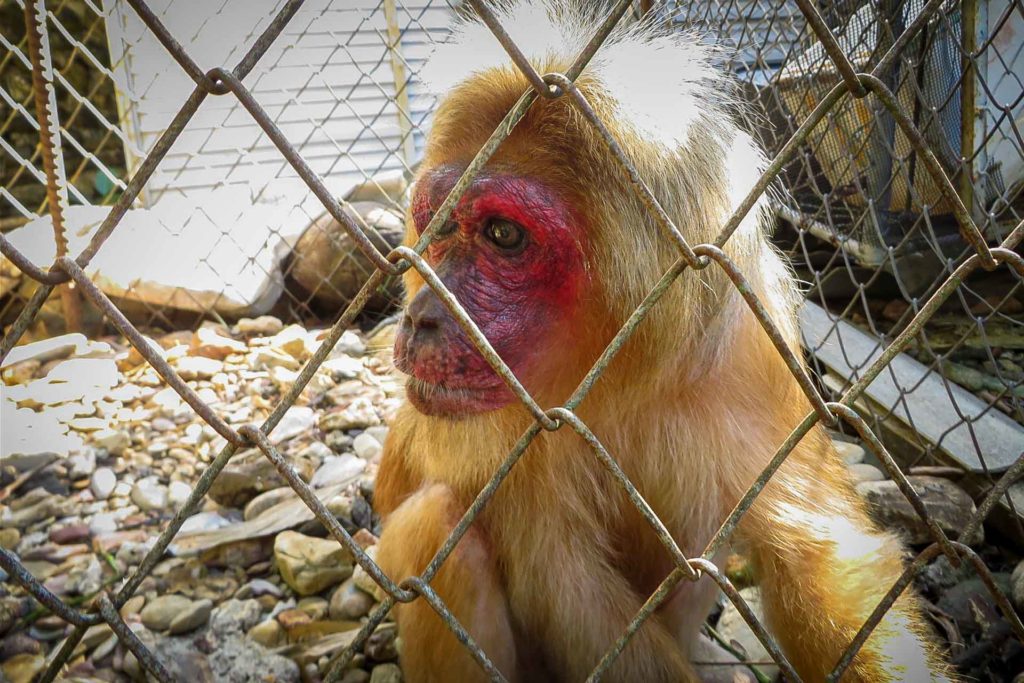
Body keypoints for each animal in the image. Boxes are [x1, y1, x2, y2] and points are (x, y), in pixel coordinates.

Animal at [372, 2, 954, 679]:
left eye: (502, 235)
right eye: (439, 224)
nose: (424, 317)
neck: (608, 374)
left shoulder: (747, 349)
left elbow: (817, 551)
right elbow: (566, 593)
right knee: (436, 526)